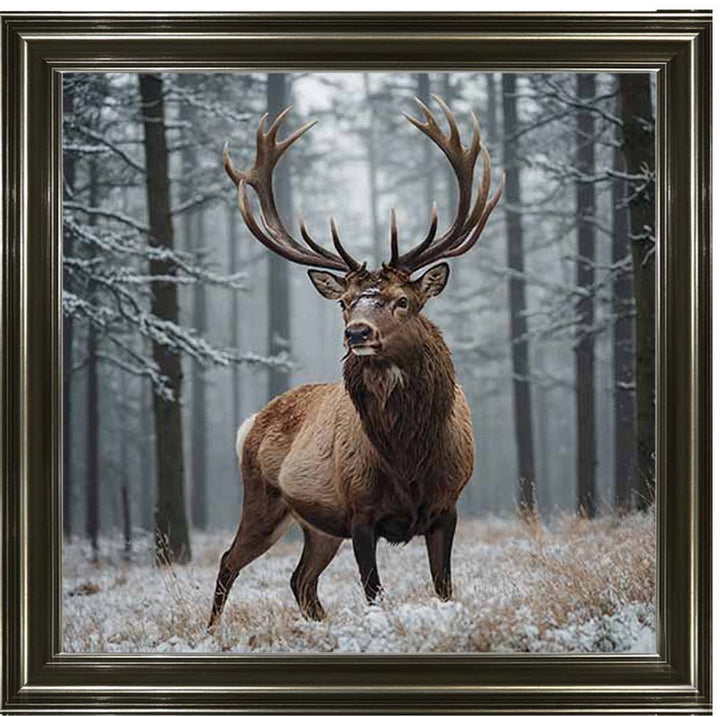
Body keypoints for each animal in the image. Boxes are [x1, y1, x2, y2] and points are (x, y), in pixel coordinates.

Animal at [209, 95, 503, 627]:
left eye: (403, 301)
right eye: (345, 303)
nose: (357, 333)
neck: (409, 459)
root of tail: (251, 422)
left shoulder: (448, 507)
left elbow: (444, 587)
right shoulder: (360, 512)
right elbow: (373, 592)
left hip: (318, 527)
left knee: (300, 580)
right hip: (264, 500)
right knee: (229, 560)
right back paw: (211, 631)